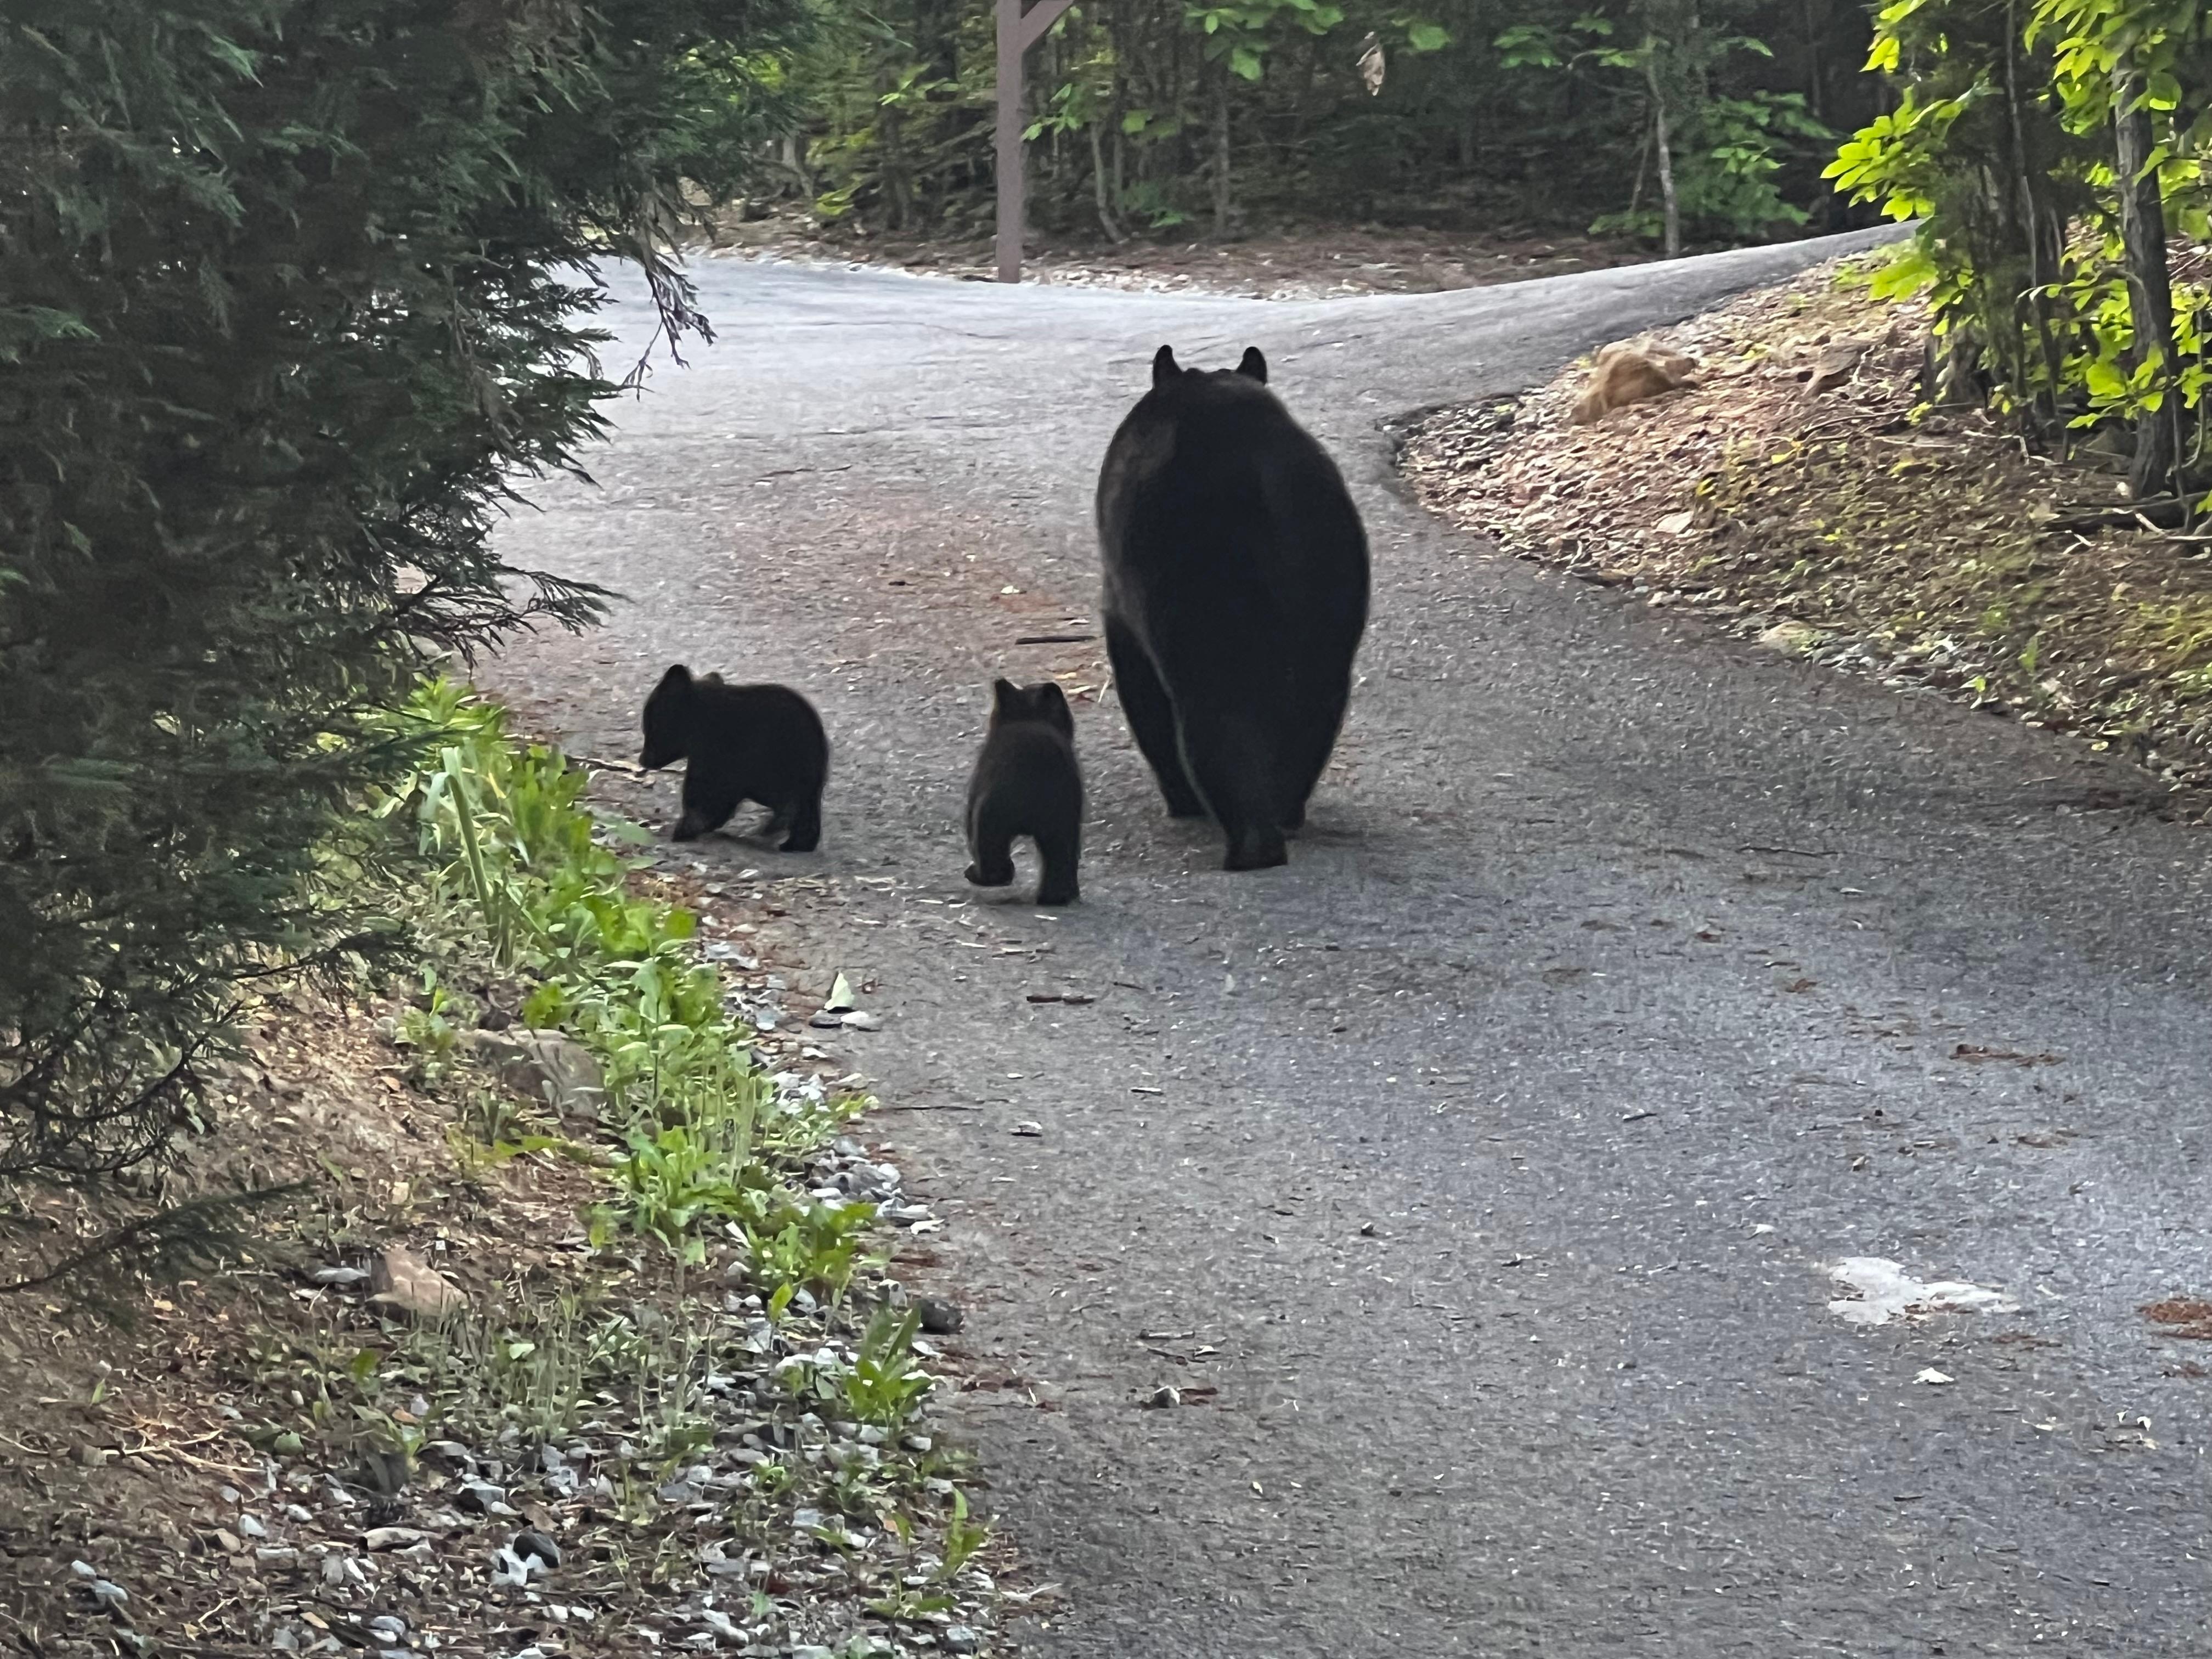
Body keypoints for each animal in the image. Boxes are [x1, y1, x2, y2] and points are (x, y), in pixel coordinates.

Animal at [964, 679, 1083, 907]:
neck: (1029, 718)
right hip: (1062, 827)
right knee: (1061, 864)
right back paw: (1057, 897)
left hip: (989, 821)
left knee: (994, 865)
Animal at [1095, 344, 1369, 871]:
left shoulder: (1122, 607)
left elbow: (1144, 699)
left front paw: (1179, 799)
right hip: (1330, 601)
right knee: (1315, 710)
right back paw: (1286, 811)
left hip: (1198, 606)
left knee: (1214, 722)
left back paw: (1249, 842)